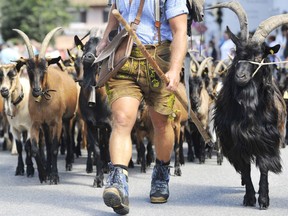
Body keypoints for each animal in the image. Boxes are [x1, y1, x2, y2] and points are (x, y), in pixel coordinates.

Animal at [212, 1, 288, 209]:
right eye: (238, 54)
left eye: (259, 57)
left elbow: (264, 168)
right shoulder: (235, 141)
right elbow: (245, 168)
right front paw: (249, 197)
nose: (240, 76)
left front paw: (263, 200)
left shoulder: (267, 139)